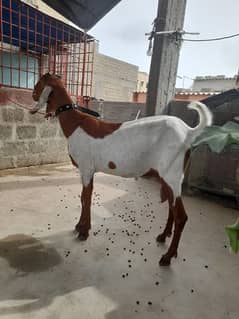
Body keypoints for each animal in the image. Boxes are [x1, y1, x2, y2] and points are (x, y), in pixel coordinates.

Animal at [30, 74, 212, 266]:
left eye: (38, 84)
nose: (32, 95)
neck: (75, 122)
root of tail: (188, 132)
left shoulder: (86, 168)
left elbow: (86, 198)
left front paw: (84, 231)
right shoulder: (88, 171)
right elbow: (84, 197)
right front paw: (80, 226)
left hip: (172, 175)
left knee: (181, 216)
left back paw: (168, 256)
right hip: (169, 177)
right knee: (172, 207)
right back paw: (163, 236)